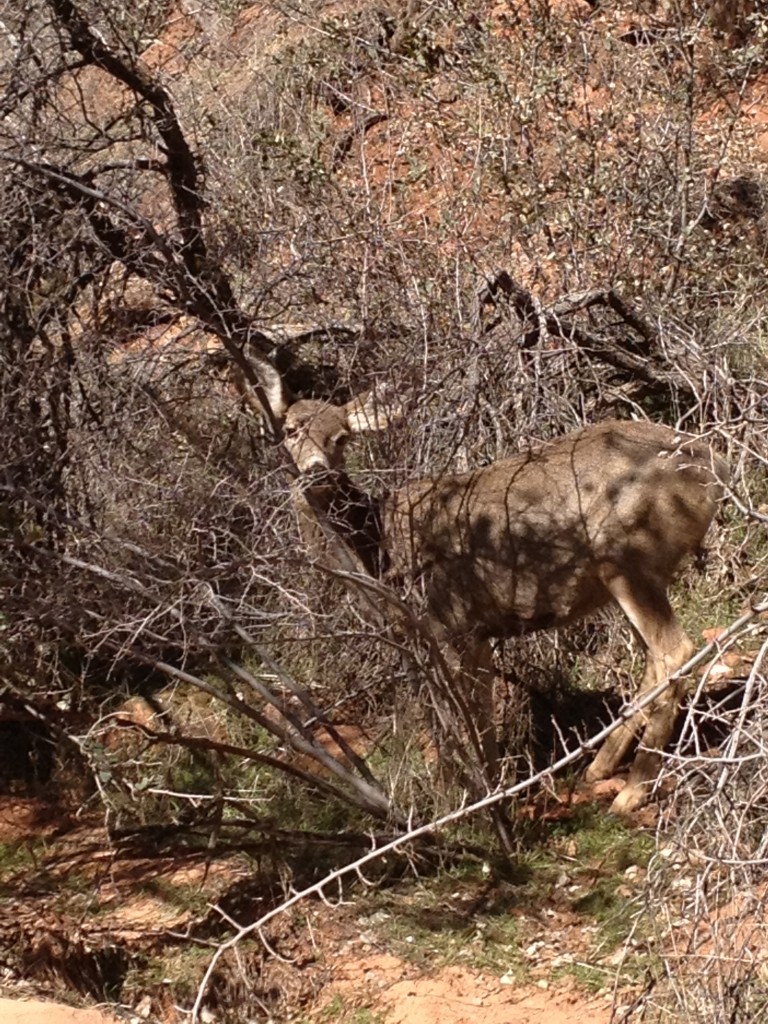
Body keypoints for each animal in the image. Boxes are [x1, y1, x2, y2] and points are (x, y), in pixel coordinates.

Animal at [274, 391, 729, 815]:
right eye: (290, 430)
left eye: (340, 437)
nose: (315, 472)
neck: (377, 547)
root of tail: (714, 463)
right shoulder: (463, 636)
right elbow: (471, 721)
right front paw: (486, 792)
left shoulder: (453, 622)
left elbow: (462, 722)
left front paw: (469, 801)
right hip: (628, 577)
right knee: (654, 660)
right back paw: (599, 767)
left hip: (628, 557)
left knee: (675, 651)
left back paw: (633, 791)